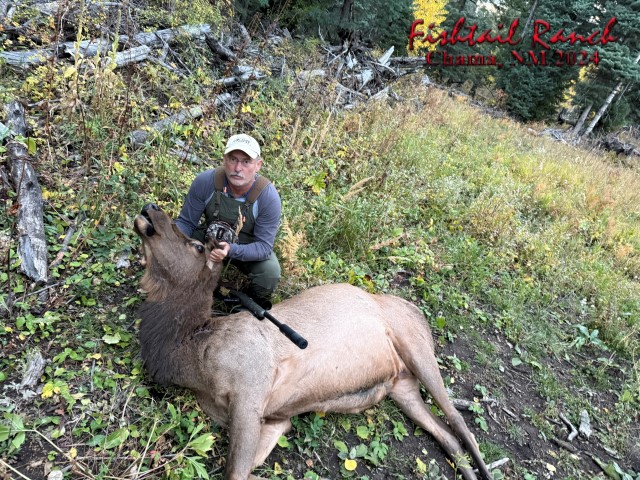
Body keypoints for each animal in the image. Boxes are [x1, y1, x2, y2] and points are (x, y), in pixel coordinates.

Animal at [133, 204, 494, 480]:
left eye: (196, 246)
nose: (150, 210)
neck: (193, 359)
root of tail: (417, 310)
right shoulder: (275, 418)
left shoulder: (250, 388)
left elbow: (235, 472)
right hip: (400, 385)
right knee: (448, 437)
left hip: (416, 347)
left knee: (462, 425)